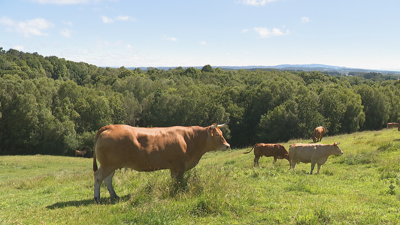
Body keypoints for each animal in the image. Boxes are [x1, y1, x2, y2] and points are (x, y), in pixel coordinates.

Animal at [92, 119, 230, 202]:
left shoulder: (174, 167)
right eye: (217, 134)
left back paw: (114, 195)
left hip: (111, 165)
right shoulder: (180, 166)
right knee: (98, 177)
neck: (189, 139)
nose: (227, 145)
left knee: (108, 179)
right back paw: (97, 197)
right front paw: (178, 191)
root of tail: (110, 126)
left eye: (221, 133)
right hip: (107, 165)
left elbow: (174, 180)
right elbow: (179, 182)